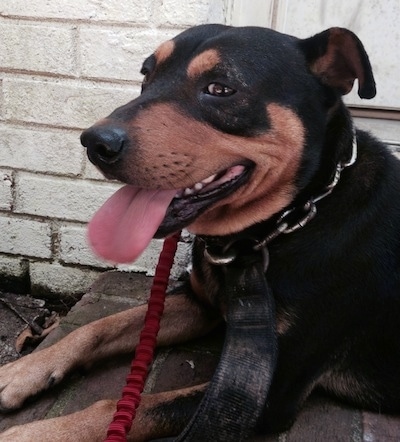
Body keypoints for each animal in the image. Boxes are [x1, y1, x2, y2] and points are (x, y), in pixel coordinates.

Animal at [0, 25, 400, 442]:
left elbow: (117, 408)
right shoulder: (200, 303)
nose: (95, 143)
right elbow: (101, 326)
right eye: (146, 75)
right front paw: (24, 371)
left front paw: (31, 434)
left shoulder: (269, 394)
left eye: (221, 88)